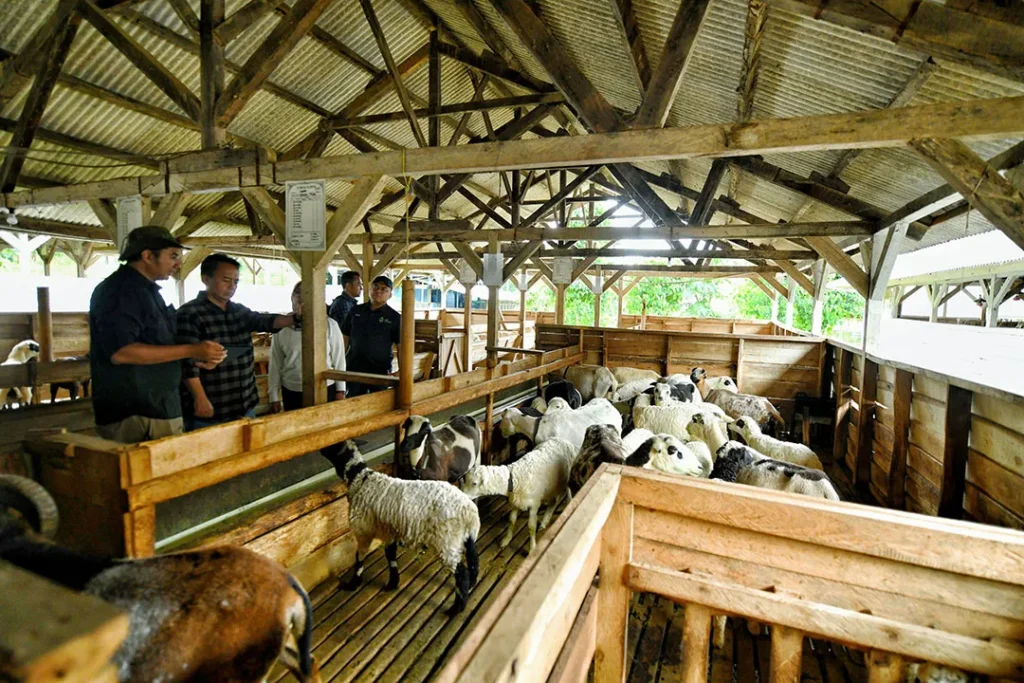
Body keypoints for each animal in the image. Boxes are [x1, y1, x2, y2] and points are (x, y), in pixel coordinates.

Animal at [319, 440, 479, 618]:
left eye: (333, 447)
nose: (321, 449)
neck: (360, 478)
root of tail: (469, 511)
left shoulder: (363, 531)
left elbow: (359, 558)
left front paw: (353, 583)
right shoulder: (389, 531)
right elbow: (391, 556)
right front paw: (393, 583)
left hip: (447, 540)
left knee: (462, 573)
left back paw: (456, 609)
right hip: (466, 537)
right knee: (474, 561)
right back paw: (471, 585)